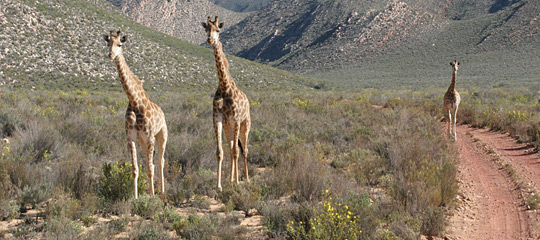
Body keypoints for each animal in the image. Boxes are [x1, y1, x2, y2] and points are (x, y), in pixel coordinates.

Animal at [102, 29, 168, 199]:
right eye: (108, 43)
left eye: (119, 44)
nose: (110, 55)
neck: (134, 102)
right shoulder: (131, 137)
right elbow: (135, 169)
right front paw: (137, 197)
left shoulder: (150, 136)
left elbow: (150, 169)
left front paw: (152, 197)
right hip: (142, 141)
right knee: (151, 162)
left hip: (162, 135)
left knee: (160, 161)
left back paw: (162, 193)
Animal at [202, 16, 251, 191]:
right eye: (206, 29)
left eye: (218, 30)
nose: (210, 40)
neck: (224, 86)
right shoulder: (217, 118)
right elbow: (220, 152)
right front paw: (219, 186)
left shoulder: (236, 119)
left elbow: (237, 151)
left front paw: (237, 182)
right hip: (228, 127)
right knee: (231, 148)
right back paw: (230, 180)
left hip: (245, 124)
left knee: (244, 150)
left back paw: (245, 179)